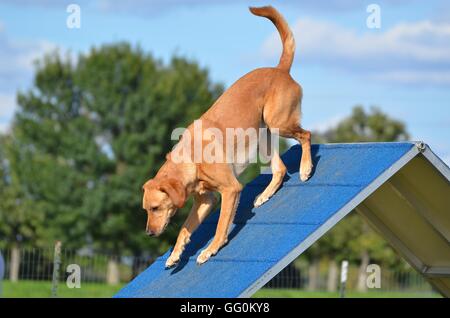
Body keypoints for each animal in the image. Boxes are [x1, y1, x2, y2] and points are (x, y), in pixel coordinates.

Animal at [142, 6, 312, 268]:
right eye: (146, 210)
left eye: (155, 207)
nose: (149, 233)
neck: (192, 159)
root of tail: (280, 70)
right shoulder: (206, 200)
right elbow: (184, 229)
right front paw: (175, 255)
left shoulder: (231, 190)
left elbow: (221, 225)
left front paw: (210, 250)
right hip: (264, 137)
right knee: (280, 169)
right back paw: (264, 195)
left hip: (279, 122)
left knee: (306, 135)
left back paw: (305, 168)